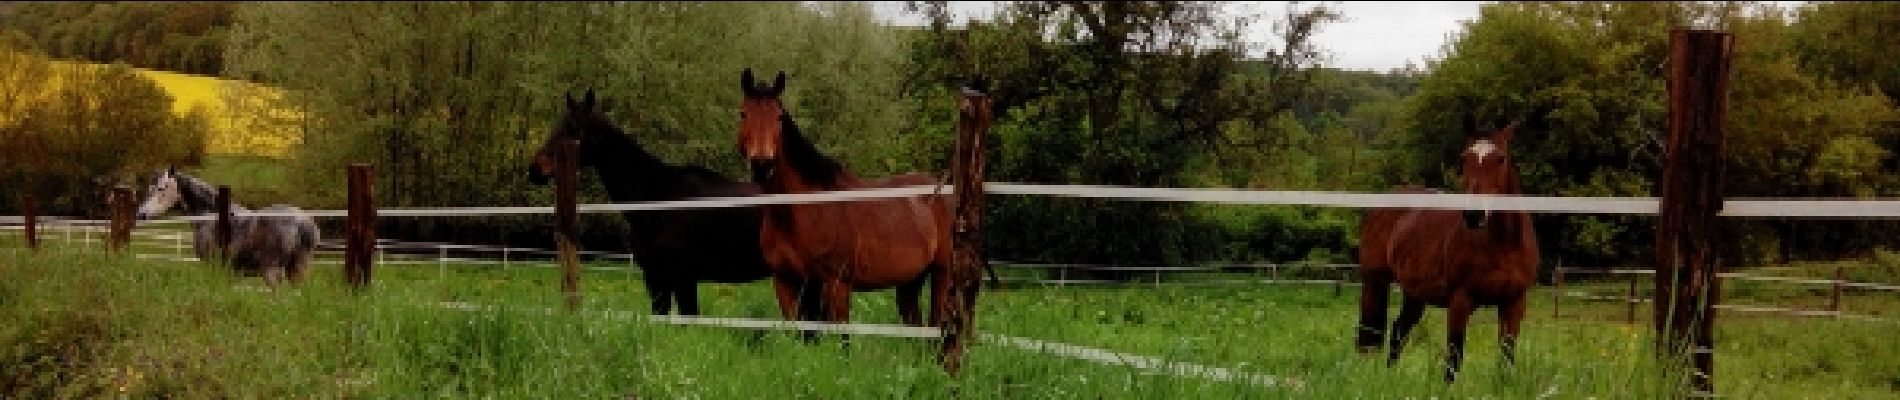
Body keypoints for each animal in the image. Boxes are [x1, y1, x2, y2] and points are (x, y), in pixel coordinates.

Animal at [135, 166, 321, 288]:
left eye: (161, 188)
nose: (141, 214)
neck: (210, 214)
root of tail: (301, 222)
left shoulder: (213, 266)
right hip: (297, 269)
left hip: (272, 271)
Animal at [1352, 114, 1542, 381]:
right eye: (1464, 158)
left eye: (1501, 158)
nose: (1473, 216)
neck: (1504, 246)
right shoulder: (1460, 301)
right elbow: (1454, 358)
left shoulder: (1514, 303)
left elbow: (1506, 357)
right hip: (1374, 281)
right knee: (1368, 334)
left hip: (1414, 293)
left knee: (1399, 330)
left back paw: (1391, 376)